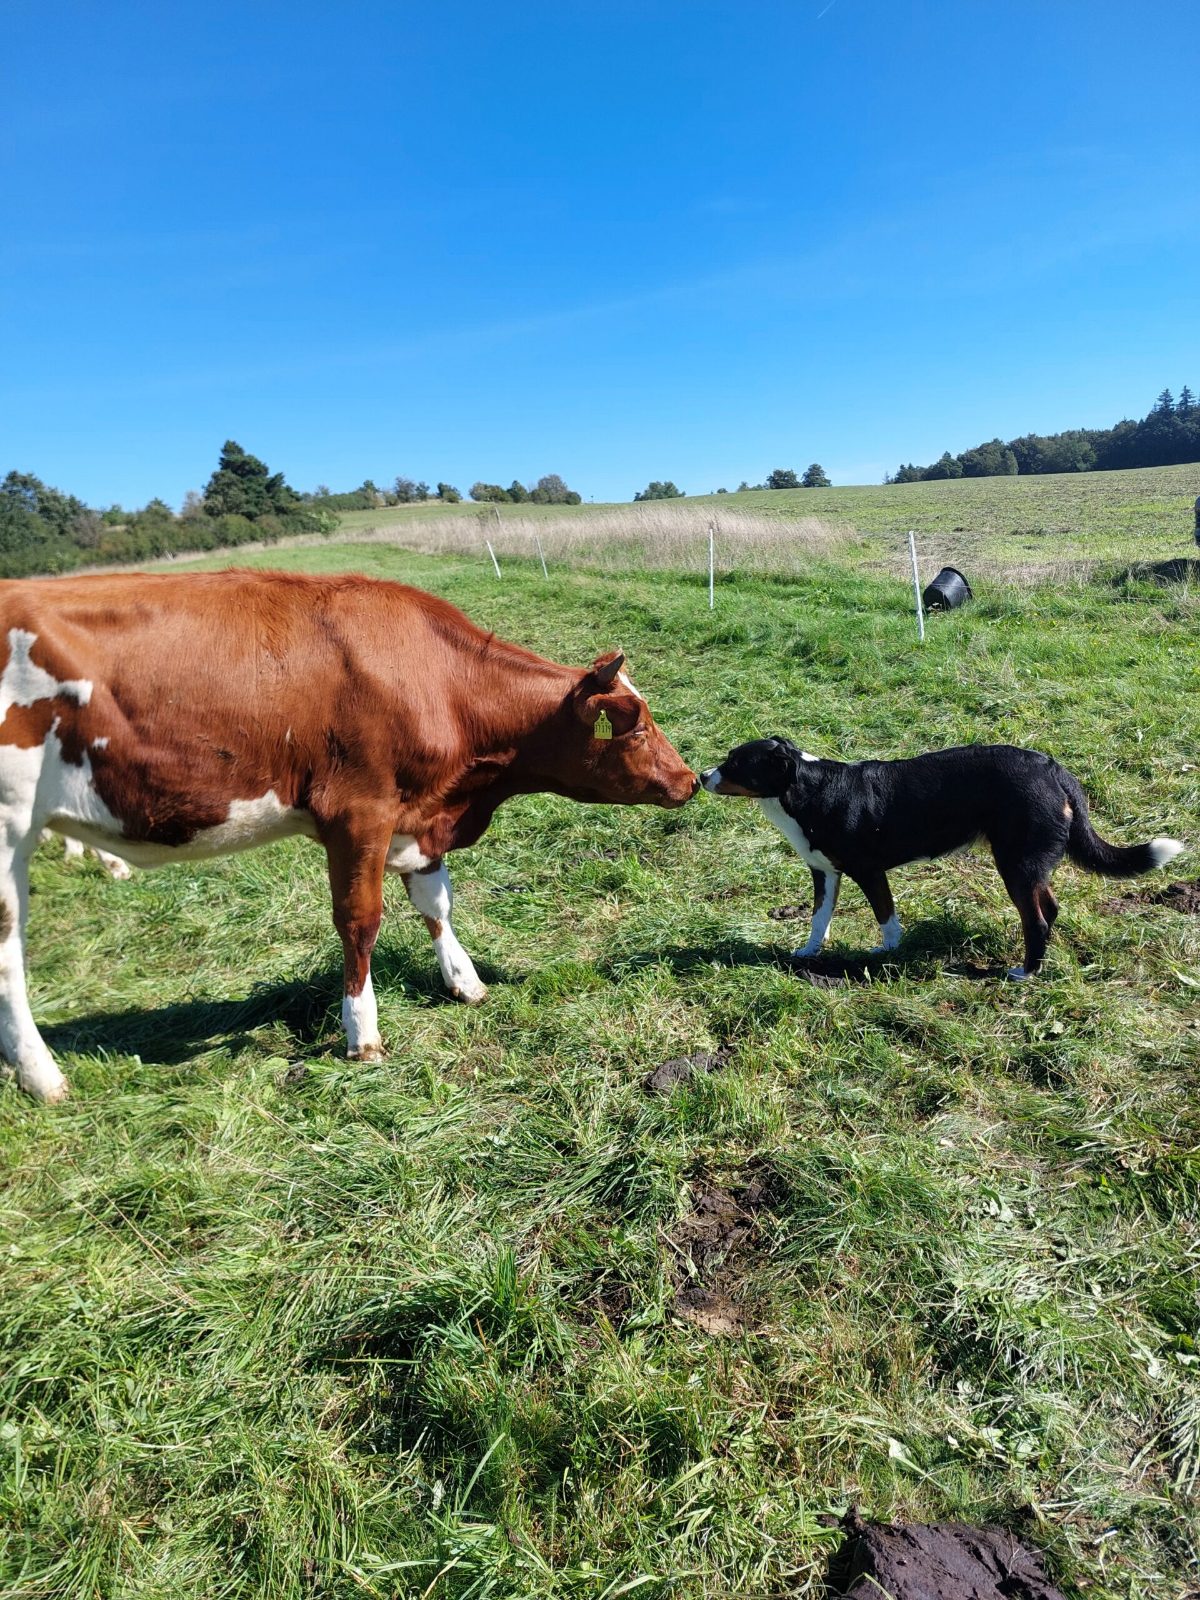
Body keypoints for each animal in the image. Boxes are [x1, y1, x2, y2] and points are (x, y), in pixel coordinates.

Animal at [0, 569, 698, 1102]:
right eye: (636, 726)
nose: (690, 780)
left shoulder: (417, 819)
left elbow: (436, 904)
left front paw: (465, 980)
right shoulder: (358, 813)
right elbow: (360, 921)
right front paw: (362, 1032)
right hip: (9, 830)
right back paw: (42, 1076)